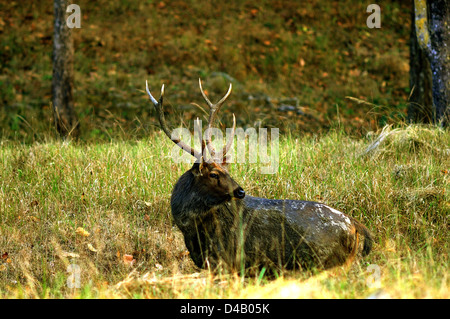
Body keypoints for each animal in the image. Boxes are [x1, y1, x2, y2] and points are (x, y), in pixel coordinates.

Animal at [145, 80, 372, 276]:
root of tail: (356, 225)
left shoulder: (226, 261)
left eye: (227, 171)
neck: (193, 232)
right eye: (214, 173)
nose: (240, 191)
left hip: (327, 262)